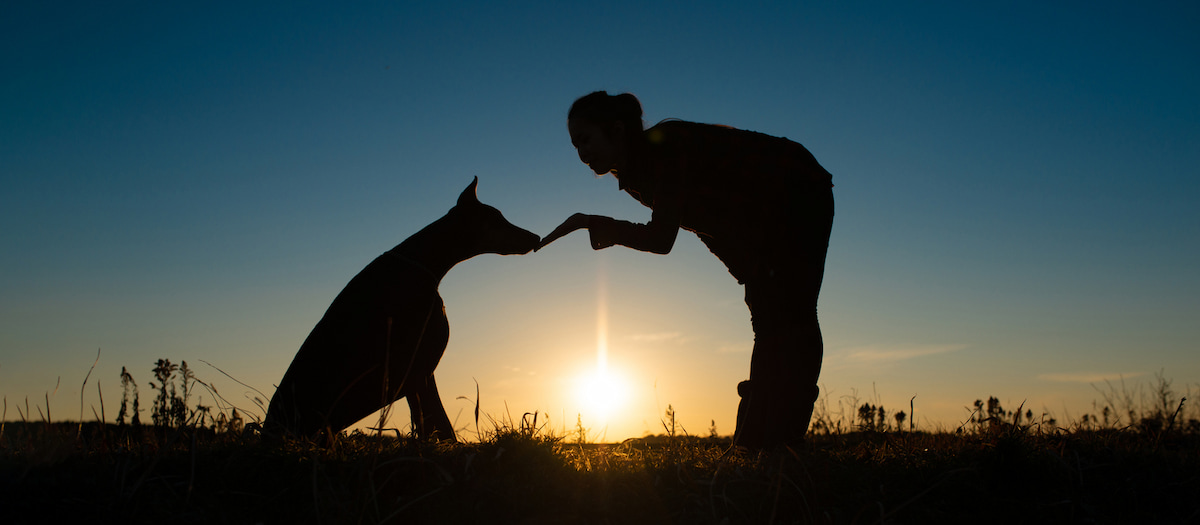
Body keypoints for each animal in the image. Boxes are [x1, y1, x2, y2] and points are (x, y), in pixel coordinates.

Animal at [270, 178, 542, 441]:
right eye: (497, 219)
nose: (536, 237)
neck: (423, 262)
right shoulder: (420, 369)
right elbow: (441, 425)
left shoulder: (417, 376)